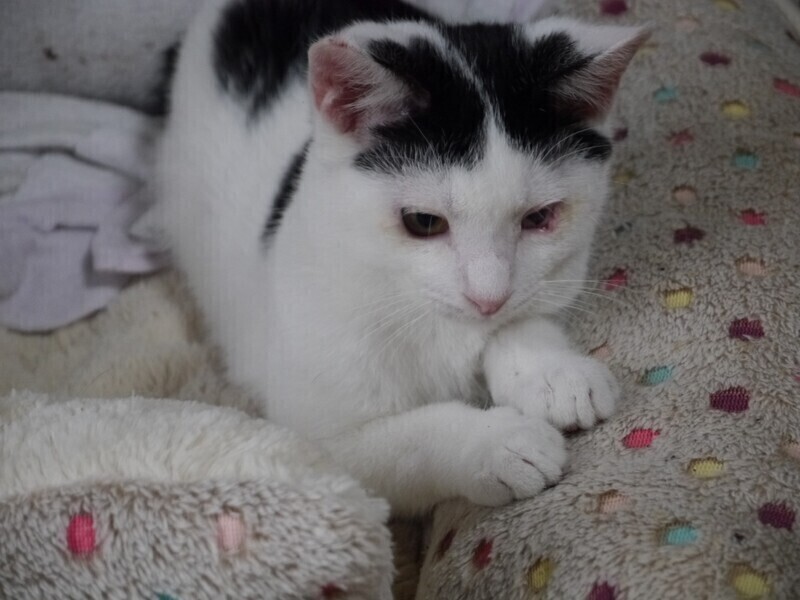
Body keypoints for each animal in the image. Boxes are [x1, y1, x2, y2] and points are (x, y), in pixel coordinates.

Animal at [156, 0, 647, 515]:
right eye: (423, 222)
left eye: (539, 217)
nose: (487, 298)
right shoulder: (317, 441)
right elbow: (405, 443)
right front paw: (499, 443)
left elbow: (524, 320)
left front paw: (554, 373)